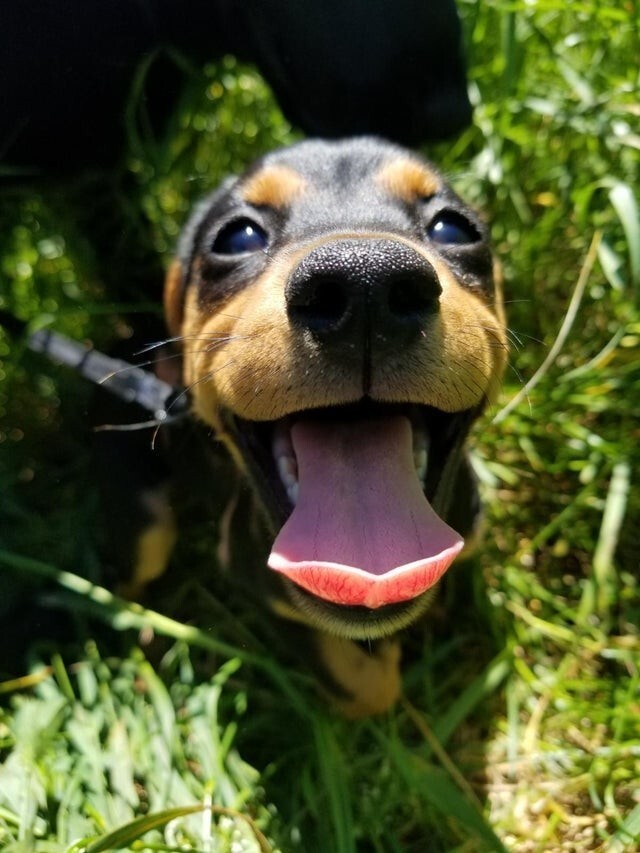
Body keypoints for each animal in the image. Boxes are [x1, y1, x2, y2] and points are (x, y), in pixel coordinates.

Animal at [117, 136, 504, 716]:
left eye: (455, 229)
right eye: (237, 236)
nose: (366, 282)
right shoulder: (268, 593)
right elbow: (364, 686)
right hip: (146, 531)